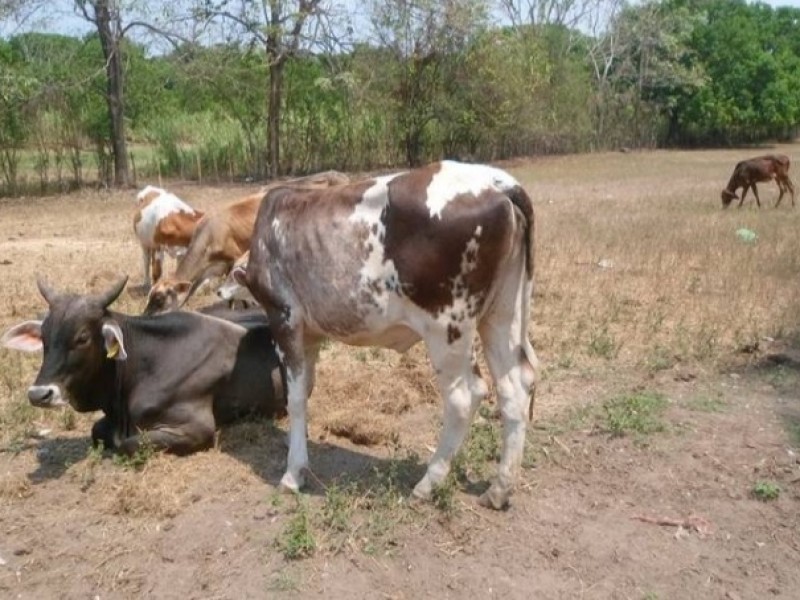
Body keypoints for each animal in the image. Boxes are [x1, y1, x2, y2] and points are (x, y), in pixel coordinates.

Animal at [0, 276, 288, 454]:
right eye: (44, 337)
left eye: (82, 337)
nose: (39, 394)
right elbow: (97, 431)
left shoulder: (196, 428)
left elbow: (128, 444)